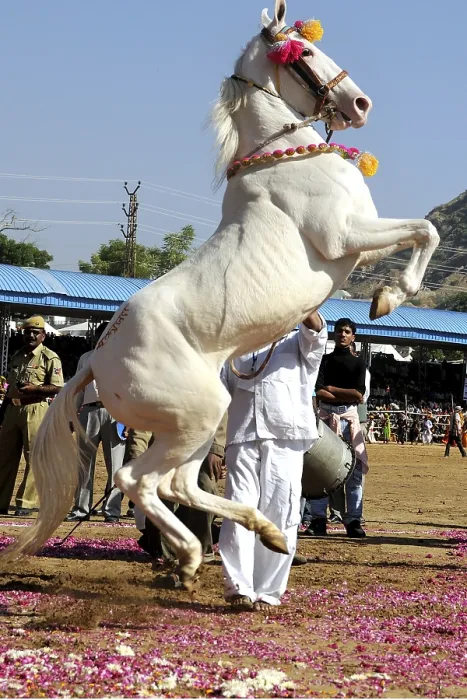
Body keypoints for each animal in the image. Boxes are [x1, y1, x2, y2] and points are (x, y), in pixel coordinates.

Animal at [3, 0, 439, 589]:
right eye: (305, 52)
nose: (360, 104)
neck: (290, 156)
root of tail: (93, 360)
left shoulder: (358, 249)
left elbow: (420, 233)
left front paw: (385, 296)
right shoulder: (345, 236)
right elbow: (425, 230)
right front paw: (392, 298)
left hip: (194, 421)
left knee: (178, 484)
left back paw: (261, 534)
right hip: (197, 414)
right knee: (142, 481)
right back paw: (192, 554)